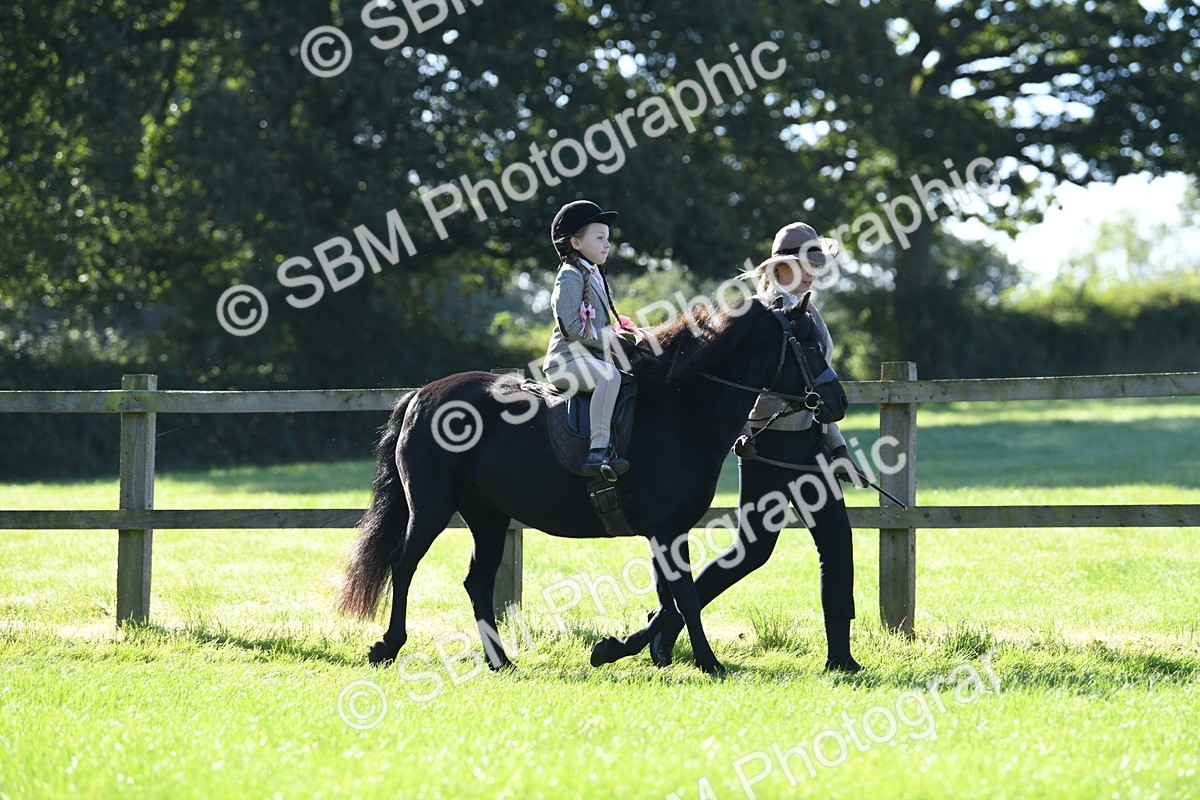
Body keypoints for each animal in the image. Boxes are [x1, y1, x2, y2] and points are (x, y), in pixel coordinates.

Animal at [337, 294, 846, 675]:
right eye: (809, 345)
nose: (837, 402)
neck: (682, 409)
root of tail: (421, 395)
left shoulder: (664, 531)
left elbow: (672, 599)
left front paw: (618, 648)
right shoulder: (667, 529)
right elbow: (684, 597)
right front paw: (707, 662)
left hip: (488, 516)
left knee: (477, 582)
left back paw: (501, 661)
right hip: (431, 506)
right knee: (403, 564)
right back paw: (388, 646)